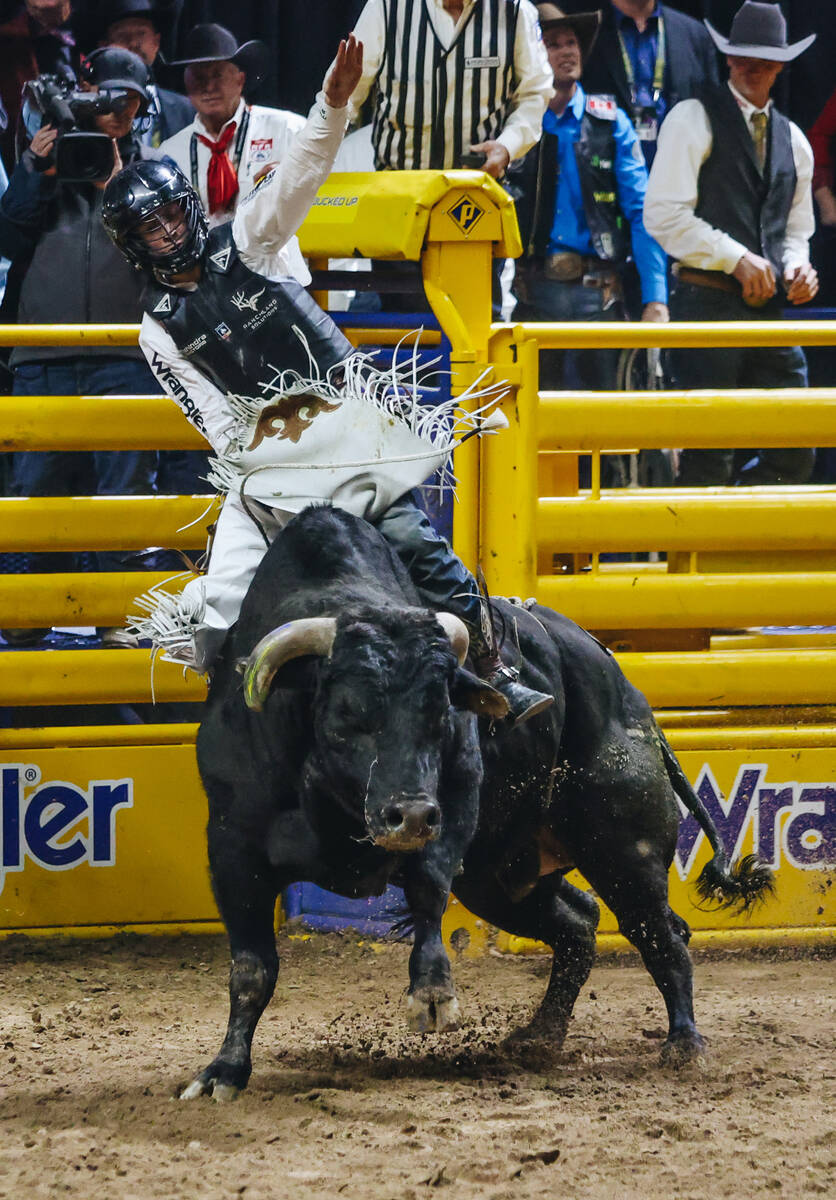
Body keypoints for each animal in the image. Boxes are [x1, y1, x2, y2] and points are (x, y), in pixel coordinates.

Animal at [185, 504, 772, 1099]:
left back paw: (684, 1044)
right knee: (579, 923)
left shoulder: (454, 806)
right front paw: (223, 1071)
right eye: (347, 711)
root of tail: (630, 697)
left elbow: (427, 888)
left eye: (442, 710)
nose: (409, 817)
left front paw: (432, 994)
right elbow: (252, 970)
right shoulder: (231, 850)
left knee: (661, 935)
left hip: (625, 849)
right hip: (502, 878)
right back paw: (539, 1035)